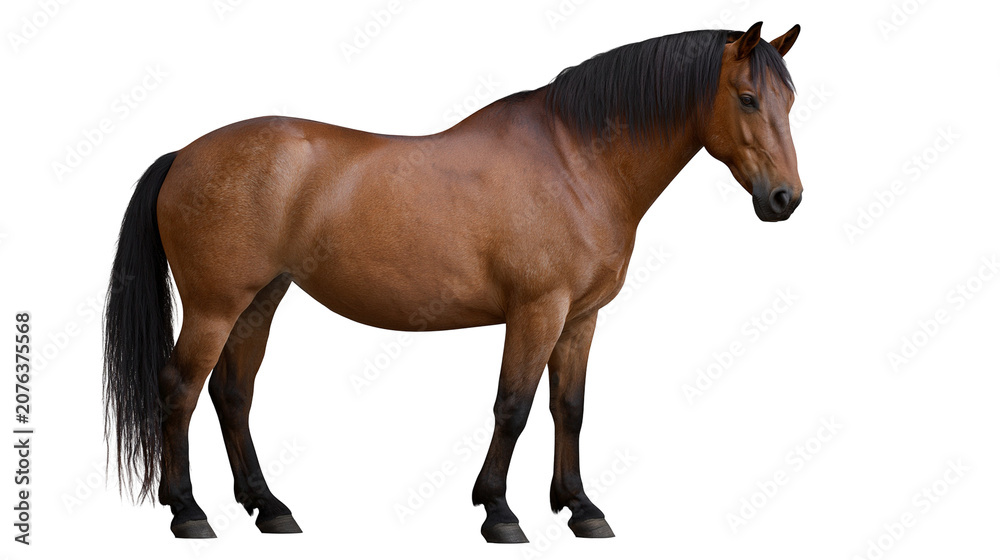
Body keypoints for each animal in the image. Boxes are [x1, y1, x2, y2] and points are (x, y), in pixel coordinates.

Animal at [103, 21, 802, 542]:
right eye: (746, 98)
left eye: (789, 101)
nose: (785, 199)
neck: (575, 161)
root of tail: (183, 155)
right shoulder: (537, 310)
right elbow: (514, 406)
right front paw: (499, 512)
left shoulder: (580, 317)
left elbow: (569, 409)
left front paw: (581, 508)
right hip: (215, 306)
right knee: (181, 389)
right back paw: (188, 511)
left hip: (260, 301)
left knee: (233, 393)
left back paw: (269, 507)